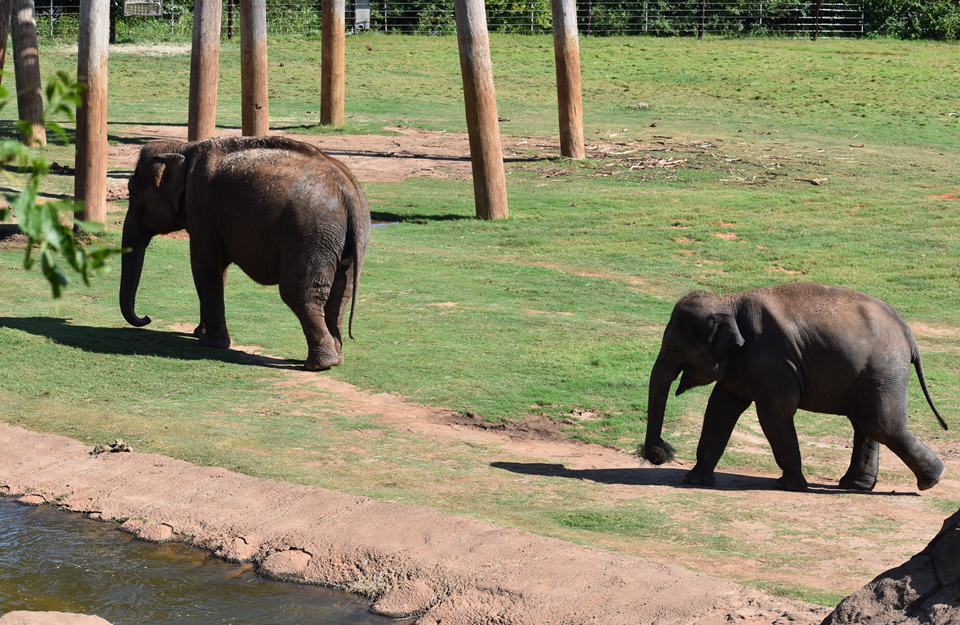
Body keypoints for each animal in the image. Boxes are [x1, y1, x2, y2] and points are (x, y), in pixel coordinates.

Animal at [120, 136, 371, 371]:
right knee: (341, 294)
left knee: (298, 292)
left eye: (133, 193)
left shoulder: (201, 208)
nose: (146, 317)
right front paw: (200, 333)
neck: (184, 147)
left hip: (310, 234)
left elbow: (204, 267)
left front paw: (210, 343)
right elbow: (217, 271)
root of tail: (348, 191)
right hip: (345, 239)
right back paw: (336, 359)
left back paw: (318, 364)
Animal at [642, 282, 949, 492]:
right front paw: (694, 481)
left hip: (883, 369)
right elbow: (720, 410)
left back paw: (932, 480)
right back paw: (856, 485)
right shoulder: (744, 363)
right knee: (866, 422)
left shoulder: (769, 359)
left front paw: (790, 485)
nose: (658, 452)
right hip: (869, 374)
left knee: (881, 424)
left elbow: (774, 413)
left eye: (674, 348)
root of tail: (908, 334)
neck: (729, 301)